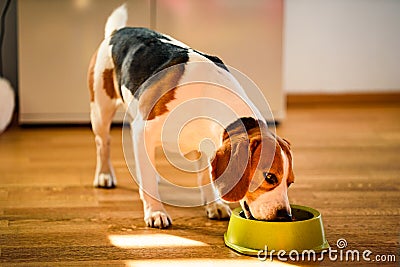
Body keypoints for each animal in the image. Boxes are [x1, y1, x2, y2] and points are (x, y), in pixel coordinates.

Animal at [87, 5, 294, 229]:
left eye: (290, 182)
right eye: (270, 177)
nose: (286, 216)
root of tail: (118, 31)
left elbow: (206, 177)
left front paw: (214, 205)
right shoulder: (142, 130)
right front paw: (156, 212)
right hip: (100, 111)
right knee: (103, 144)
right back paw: (104, 175)